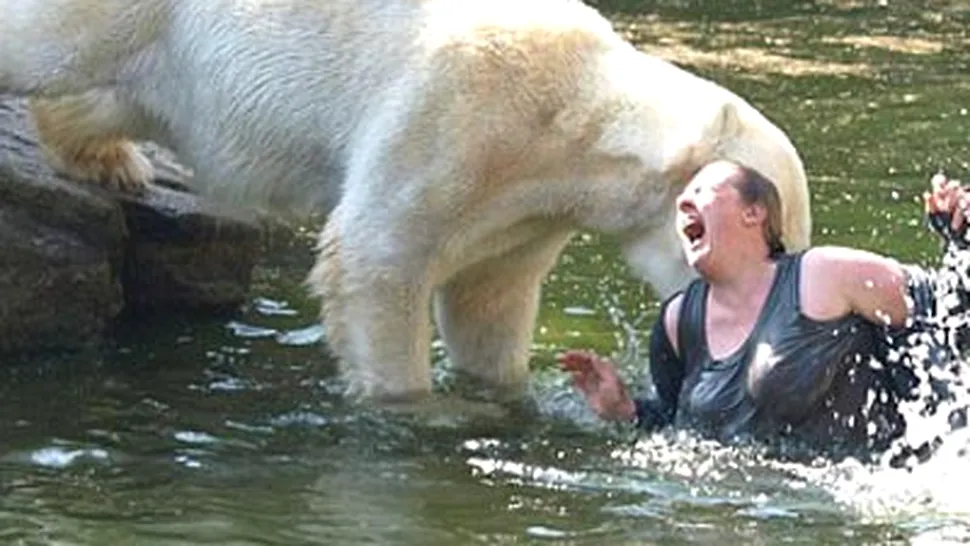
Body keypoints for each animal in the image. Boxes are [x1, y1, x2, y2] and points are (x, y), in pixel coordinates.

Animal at [1, 0, 808, 400]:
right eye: (775, 233)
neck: (573, 119)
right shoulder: (456, 114)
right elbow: (377, 255)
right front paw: (408, 406)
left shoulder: (526, 214)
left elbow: (488, 300)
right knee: (45, 44)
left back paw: (109, 160)